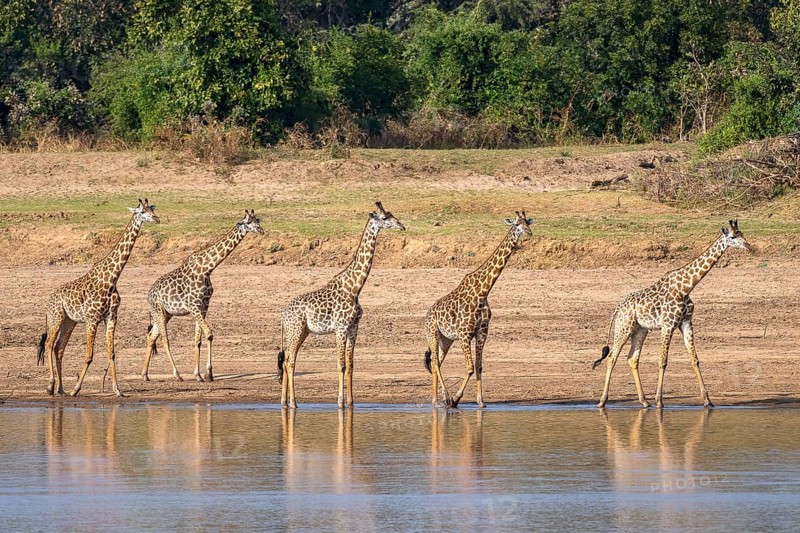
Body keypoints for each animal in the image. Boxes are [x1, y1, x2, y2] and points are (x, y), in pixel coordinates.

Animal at [36, 199, 160, 397]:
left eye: (152, 210)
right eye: (141, 212)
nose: (156, 219)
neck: (112, 278)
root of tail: (49, 301)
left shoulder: (111, 317)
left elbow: (112, 353)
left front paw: (118, 390)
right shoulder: (92, 318)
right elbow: (89, 355)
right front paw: (76, 389)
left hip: (69, 321)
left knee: (59, 348)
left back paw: (61, 389)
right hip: (56, 317)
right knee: (48, 344)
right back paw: (50, 386)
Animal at [141, 210, 264, 383]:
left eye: (257, 220)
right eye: (247, 222)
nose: (261, 230)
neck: (207, 269)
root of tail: (148, 295)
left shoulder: (204, 306)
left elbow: (198, 339)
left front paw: (198, 374)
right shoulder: (193, 306)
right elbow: (209, 334)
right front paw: (208, 374)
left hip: (166, 314)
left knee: (151, 337)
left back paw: (145, 374)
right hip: (158, 311)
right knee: (164, 339)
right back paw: (177, 374)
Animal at [277, 201, 405, 409]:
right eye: (385, 217)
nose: (402, 226)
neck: (355, 288)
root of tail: (282, 315)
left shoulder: (354, 328)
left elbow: (351, 365)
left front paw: (351, 402)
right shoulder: (341, 327)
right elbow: (341, 365)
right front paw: (340, 402)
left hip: (301, 331)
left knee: (287, 359)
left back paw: (284, 402)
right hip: (296, 330)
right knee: (289, 362)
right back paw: (293, 403)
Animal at [424, 211, 534, 408]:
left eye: (527, 222)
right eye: (516, 224)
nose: (529, 233)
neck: (483, 291)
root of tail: (427, 315)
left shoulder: (482, 332)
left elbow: (479, 367)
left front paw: (481, 402)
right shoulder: (464, 334)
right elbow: (469, 368)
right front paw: (456, 399)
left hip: (446, 339)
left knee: (438, 364)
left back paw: (436, 400)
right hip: (433, 334)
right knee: (435, 362)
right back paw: (444, 399)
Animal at [593, 220, 753, 409]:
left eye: (742, 234)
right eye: (733, 237)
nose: (749, 246)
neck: (686, 287)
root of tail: (617, 308)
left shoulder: (686, 323)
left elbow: (694, 359)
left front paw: (707, 400)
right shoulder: (668, 324)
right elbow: (663, 361)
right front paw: (659, 401)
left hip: (640, 330)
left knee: (632, 359)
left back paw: (644, 401)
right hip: (623, 328)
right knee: (611, 357)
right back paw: (602, 401)